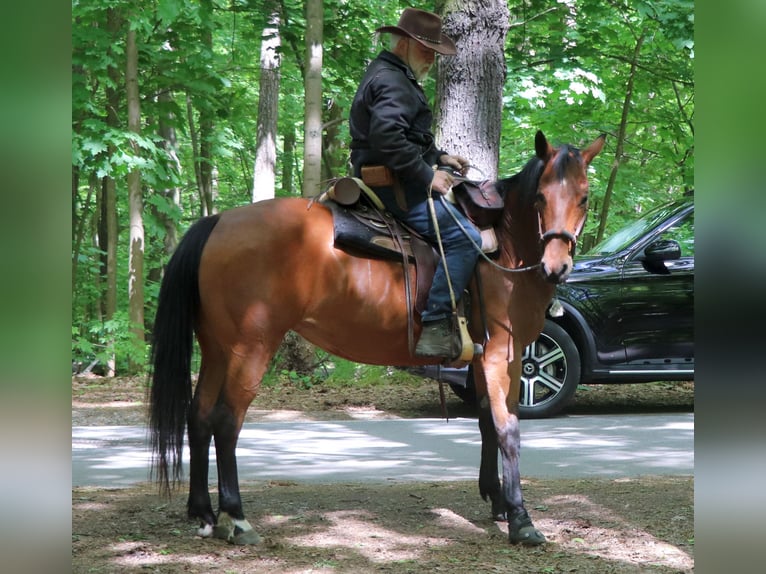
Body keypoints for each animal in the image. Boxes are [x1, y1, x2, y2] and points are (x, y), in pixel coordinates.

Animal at [149, 130, 605, 545]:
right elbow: (507, 428)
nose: (556, 266)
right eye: (540, 198)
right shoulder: (501, 355)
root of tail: (218, 221)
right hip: (252, 348)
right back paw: (237, 519)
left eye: (584, 198)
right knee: (226, 421)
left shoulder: (481, 358)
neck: (504, 246)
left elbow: (486, 424)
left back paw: (203, 513)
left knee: (198, 416)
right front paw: (521, 519)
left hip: (217, 348)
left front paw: (496, 501)